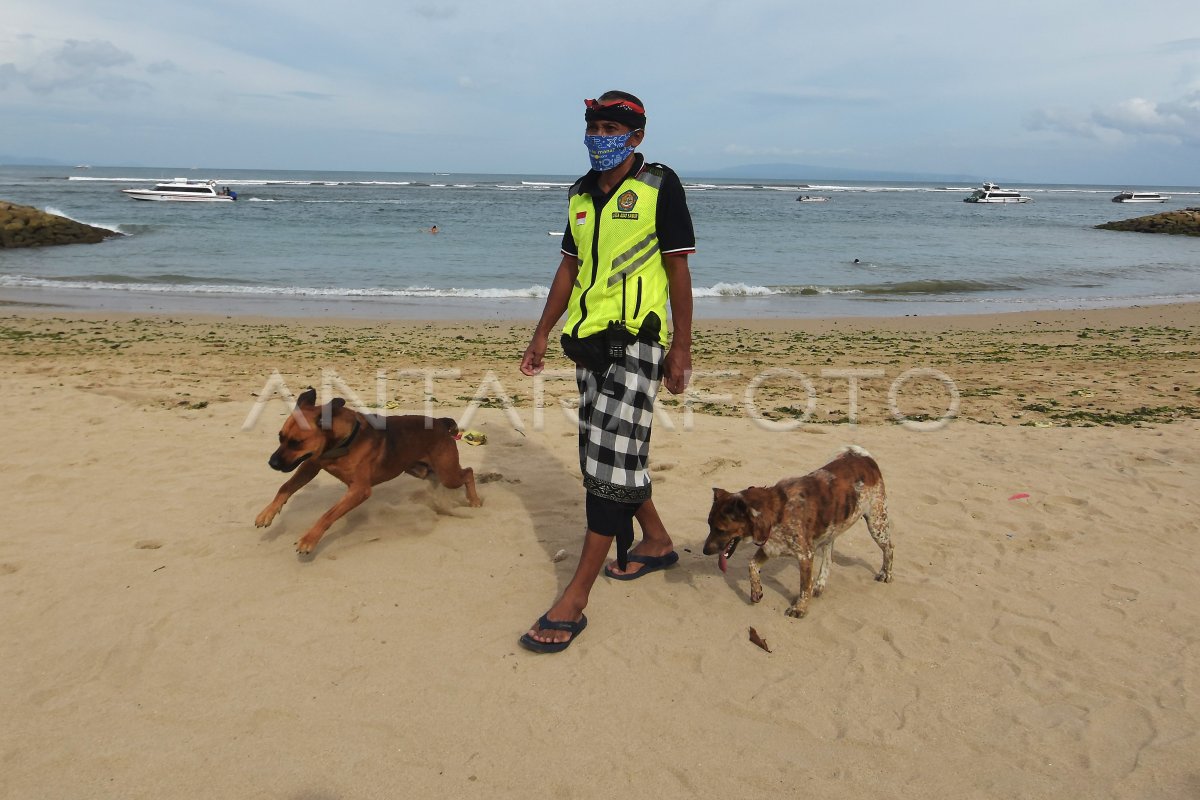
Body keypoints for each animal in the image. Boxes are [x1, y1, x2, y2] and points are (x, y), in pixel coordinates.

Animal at [255, 388, 480, 556]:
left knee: (468, 472)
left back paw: (475, 501)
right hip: (420, 469)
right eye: (280, 438)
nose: (272, 463)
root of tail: (441, 422)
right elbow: (286, 487)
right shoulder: (311, 465)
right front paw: (267, 513)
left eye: (296, 442)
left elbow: (328, 514)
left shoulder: (359, 490)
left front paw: (309, 539)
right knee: (435, 478)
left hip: (448, 473)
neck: (343, 442)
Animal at [700, 443, 892, 618]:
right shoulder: (770, 547)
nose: (704, 551)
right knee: (829, 557)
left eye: (720, 529)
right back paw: (820, 584)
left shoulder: (805, 556)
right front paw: (756, 591)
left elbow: (804, 586)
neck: (776, 513)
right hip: (831, 531)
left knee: (889, 548)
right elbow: (752, 565)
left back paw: (886, 574)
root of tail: (865, 458)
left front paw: (800, 608)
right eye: (709, 525)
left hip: (876, 523)